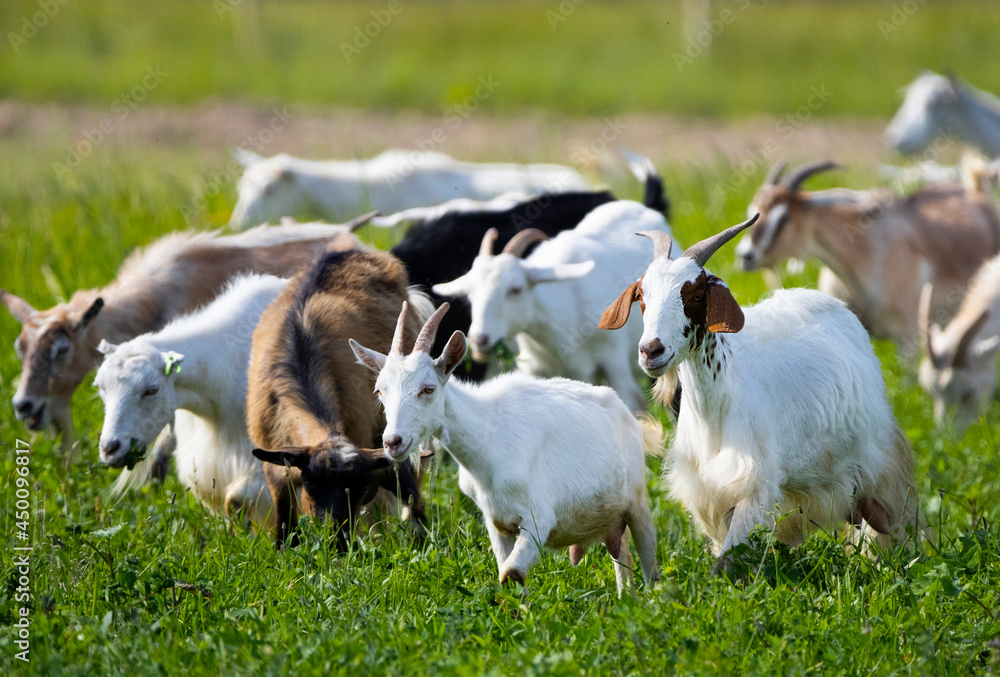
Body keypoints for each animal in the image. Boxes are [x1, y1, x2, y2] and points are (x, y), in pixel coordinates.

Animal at [350, 302, 661, 595]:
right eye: (379, 391)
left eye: (428, 389)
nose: (393, 441)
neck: (489, 444)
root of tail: (626, 413)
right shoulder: (496, 522)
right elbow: (508, 575)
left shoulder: (539, 518)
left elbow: (510, 573)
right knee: (622, 554)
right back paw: (625, 600)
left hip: (637, 501)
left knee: (648, 557)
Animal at [600, 216, 919, 571]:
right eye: (642, 296)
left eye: (694, 294)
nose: (650, 351)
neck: (717, 412)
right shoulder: (710, 496)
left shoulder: (754, 488)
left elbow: (726, 564)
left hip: (878, 467)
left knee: (890, 524)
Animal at [734, 160, 1000, 348]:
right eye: (754, 211)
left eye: (785, 217)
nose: (745, 256)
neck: (865, 250)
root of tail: (976, 192)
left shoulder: (908, 338)